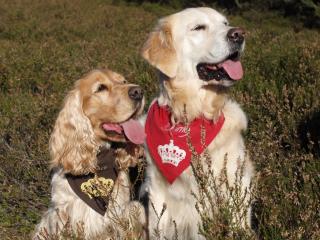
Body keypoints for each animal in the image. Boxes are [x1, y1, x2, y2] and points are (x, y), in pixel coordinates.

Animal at [141, 7, 254, 240]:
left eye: (225, 23)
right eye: (198, 27)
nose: (239, 34)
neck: (193, 115)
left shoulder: (235, 180)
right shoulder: (157, 189)